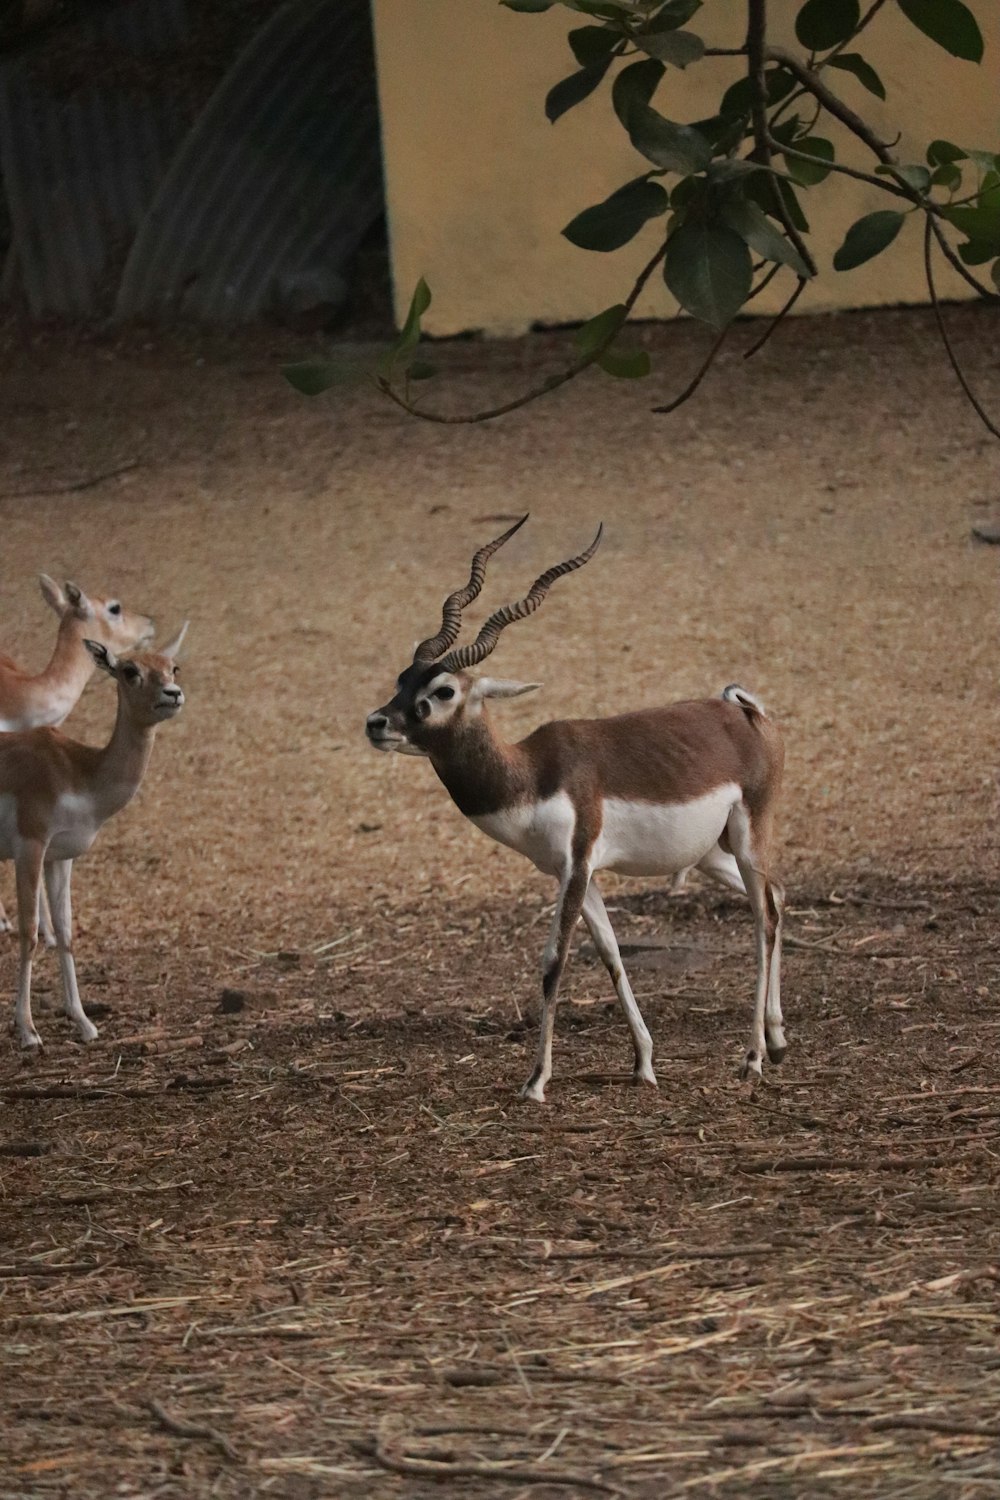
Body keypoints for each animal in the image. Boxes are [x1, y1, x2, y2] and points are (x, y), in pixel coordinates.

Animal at [0, 627, 187, 1050]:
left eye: (172, 667)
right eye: (130, 670)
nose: (173, 694)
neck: (79, 771)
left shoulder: (61, 856)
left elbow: (66, 932)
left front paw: (84, 1023)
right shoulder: (30, 847)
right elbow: (30, 934)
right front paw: (29, 1031)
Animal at [364, 525, 785, 1104]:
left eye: (442, 690)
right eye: (403, 678)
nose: (376, 723)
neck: (530, 774)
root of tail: (745, 712)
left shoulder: (577, 864)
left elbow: (553, 962)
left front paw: (536, 1081)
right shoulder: (576, 876)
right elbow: (610, 955)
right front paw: (644, 1064)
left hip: (748, 837)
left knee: (763, 917)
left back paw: (753, 1059)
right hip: (711, 855)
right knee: (778, 898)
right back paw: (778, 1039)